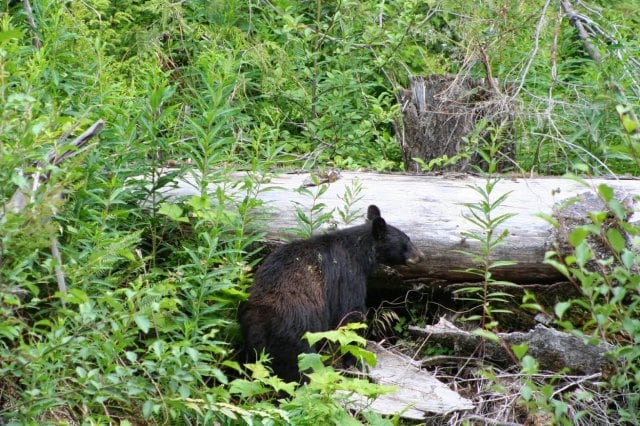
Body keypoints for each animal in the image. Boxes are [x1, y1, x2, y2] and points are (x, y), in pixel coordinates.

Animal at [238, 205, 422, 382]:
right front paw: (357, 362)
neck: (359, 252)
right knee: (299, 364)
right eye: (407, 241)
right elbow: (350, 317)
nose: (421, 256)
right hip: (295, 329)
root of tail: (259, 316)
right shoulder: (348, 276)